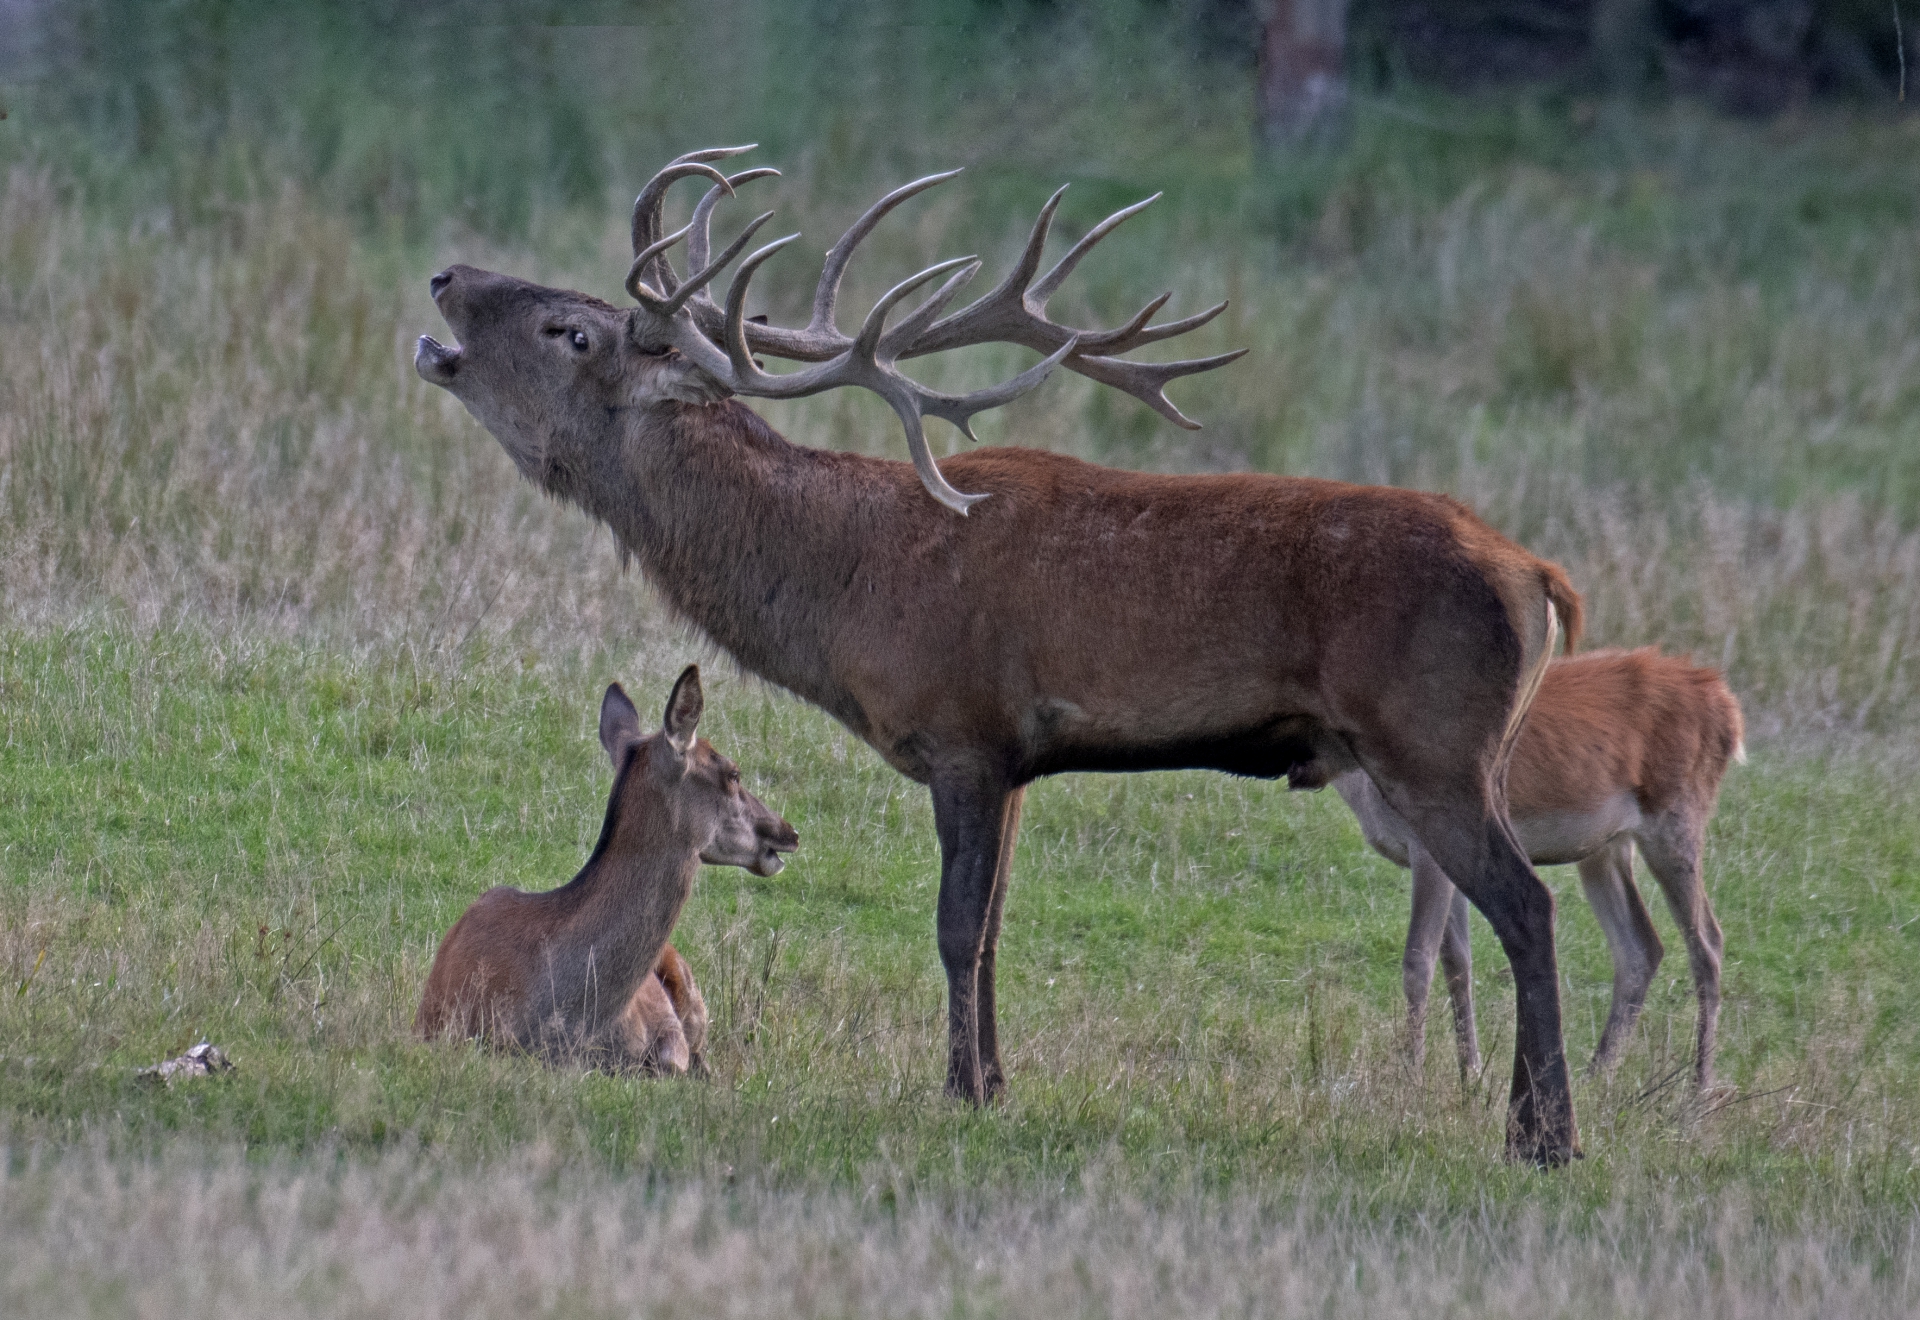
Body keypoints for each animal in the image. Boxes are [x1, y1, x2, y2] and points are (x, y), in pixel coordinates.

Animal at [1328, 648, 1751, 1089]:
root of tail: (1725, 703)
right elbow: (1458, 961)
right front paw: (1470, 1075)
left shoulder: (1429, 848)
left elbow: (1418, 960)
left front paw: (1412, 1078)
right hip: (1605, 848)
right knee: (1641, 947)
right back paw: (1595, 1076)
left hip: (1676, 819)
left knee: (1707, 941)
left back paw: (1699, 1088)